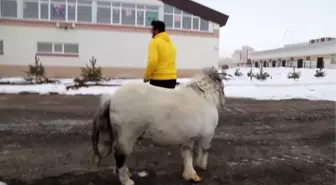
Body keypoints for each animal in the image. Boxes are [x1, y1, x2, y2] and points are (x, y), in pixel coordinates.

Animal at [90, 67, 224, 185]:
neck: (204, 97)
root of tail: (111, 99)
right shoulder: (207, 135)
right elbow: (204, 150)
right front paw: (201, 166)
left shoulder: (189, 137)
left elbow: (187, 155)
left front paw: (190, 174)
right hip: (127, 136)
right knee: (120, 156)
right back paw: (127, 181)